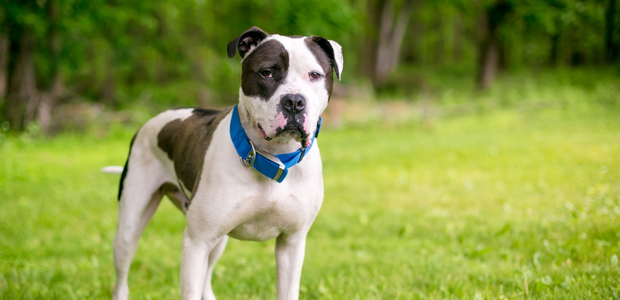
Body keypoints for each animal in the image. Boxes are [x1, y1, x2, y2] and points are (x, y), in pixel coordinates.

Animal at [104, 26, 344, 300]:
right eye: (267, 72)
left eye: (315, 75)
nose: (294, 101)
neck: (273, 158)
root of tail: (148, 123)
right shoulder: (196, 242)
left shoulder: (291, 243)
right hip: (130, 227)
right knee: (122, 276)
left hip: (218, 240)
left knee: (207, 278)